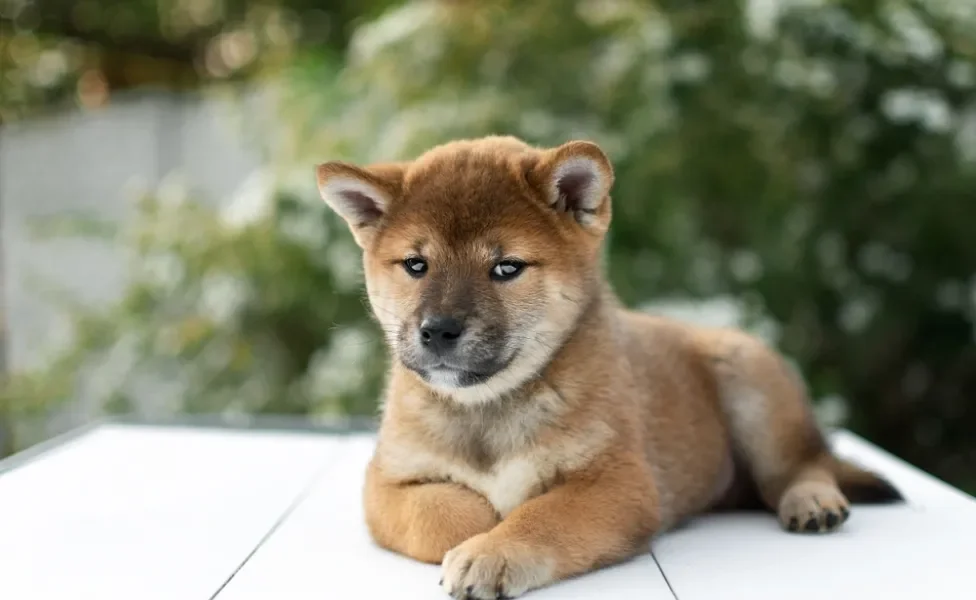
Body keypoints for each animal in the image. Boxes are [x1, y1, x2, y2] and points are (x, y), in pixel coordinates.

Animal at [316, 136, 904, 600]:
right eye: (416, 265)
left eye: (506, 267)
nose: (438, 330)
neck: (489, 408)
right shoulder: (390, 484)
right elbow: (451, 512)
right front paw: (483, 532)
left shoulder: (619, 482)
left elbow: (542, 517)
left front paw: (496, 550)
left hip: (752, 385)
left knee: (805, 463)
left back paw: (813, 500)